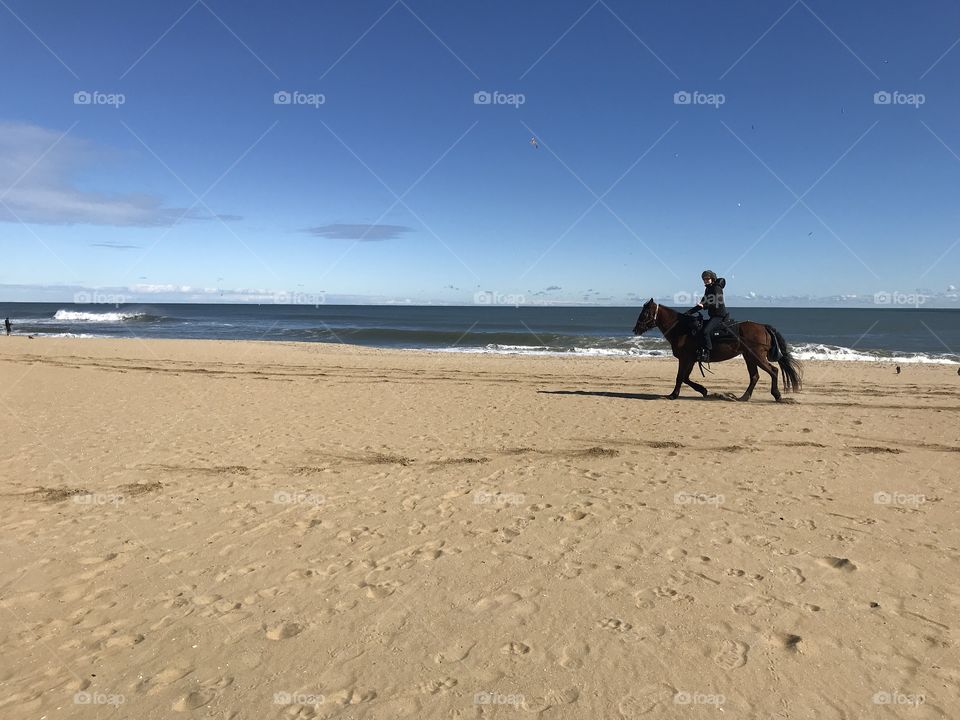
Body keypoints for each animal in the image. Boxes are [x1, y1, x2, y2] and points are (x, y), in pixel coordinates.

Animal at [632, 299, 802, 401]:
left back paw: (777, 395)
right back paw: (744, 397)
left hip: (756, 356)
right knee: (755, 376)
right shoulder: (691, 359)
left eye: (645, 313)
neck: (683, 328)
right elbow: (685, 378)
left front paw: (674, 395)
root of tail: (763, 326)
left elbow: (680, 377)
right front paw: (703, 390)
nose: (635, 329)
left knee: (773, 371)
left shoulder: (685, 359)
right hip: (749, 357)